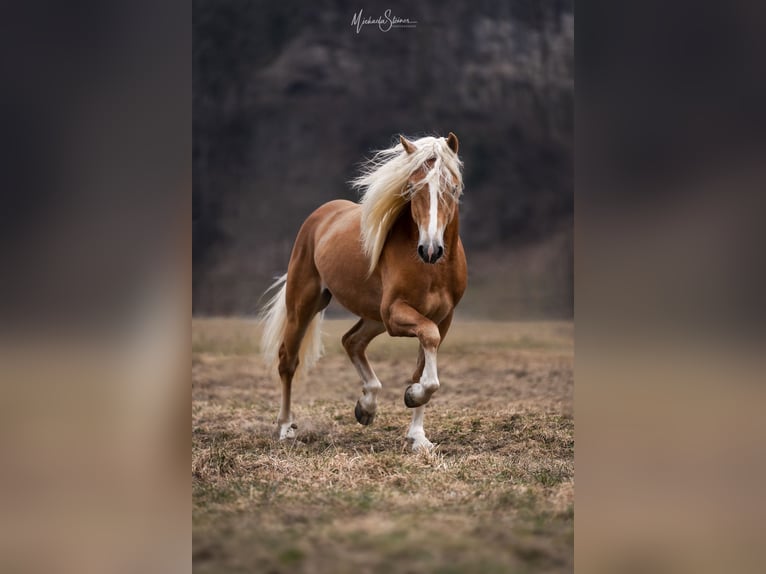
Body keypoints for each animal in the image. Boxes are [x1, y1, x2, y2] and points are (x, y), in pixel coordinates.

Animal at [260, 133, 468, 452]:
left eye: (453, 188)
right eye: (412, 187)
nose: (430, 250)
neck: (432, 270)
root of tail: (322, 215)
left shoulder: (442, 319)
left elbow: (423, 366)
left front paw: (417, 434)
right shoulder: (396, 313)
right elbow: (428, 353)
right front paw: (413, 396)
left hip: (373, 316)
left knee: (352, 341)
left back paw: (366, 407)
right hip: (305, 303)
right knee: (288, 361)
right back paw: (285, 429)